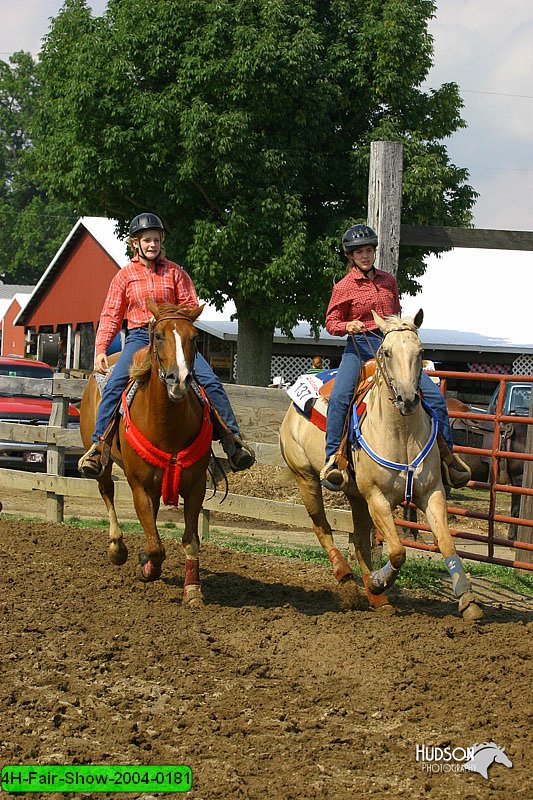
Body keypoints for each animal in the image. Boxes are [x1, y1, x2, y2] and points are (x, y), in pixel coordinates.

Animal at [79, 300, 212, 608]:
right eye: (158, 336)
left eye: (194, 338)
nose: (179, 379)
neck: (167, 426)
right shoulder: (139, 486)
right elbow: (155, 546)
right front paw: (146, 568)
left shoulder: (196, 484)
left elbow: (189, 539)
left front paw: (193, 590)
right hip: (104, 463)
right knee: (106, 490)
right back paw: (117, 548)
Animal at [280, 310, 484, 620]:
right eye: (386, 352)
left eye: (420, 351)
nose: (408, 399)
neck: (401, 432)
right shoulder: (377, 498)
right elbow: (398, 551)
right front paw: (379, 581)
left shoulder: (432, 492)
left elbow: (446, 541)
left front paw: (468, 600)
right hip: (307, 478)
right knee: (321, 527)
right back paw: (348, 579)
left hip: (356, 495)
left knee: (360, 542)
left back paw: (377, 598)